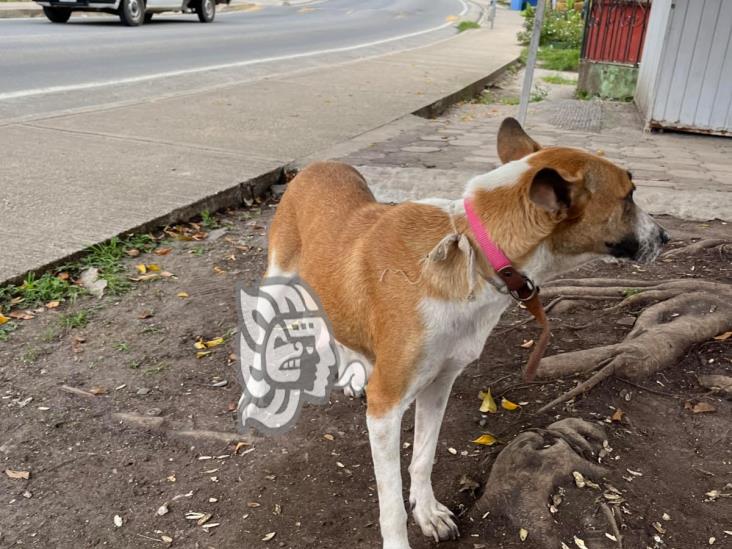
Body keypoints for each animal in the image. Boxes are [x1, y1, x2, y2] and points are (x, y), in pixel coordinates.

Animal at [264, 120, 668, 548]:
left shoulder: (439, 383)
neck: (473, 250)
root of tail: (318, 164)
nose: (666, 237)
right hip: (277, 276)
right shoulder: (386, 407)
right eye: (629, 195)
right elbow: (390, 504)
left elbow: (423, 457)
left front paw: (427, 512)